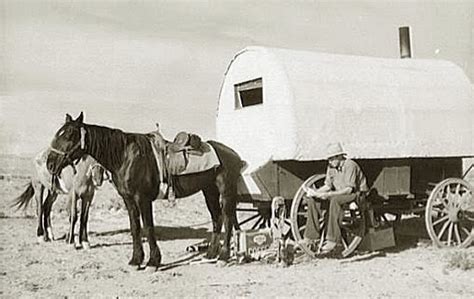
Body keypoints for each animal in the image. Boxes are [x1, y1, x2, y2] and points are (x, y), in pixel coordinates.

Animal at [45, 113, 244, 270]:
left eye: (69, 134)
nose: (50, 164)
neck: (125, 156)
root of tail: (233, 154)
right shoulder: (129, 199)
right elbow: (135, 228)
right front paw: (136, 260)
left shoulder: (143, 198)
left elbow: (148, 227)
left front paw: (153, 262)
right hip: (209, 191)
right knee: (217, 219)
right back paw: (211, 254)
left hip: (226, 192)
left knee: (227, 219)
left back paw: (223, 257)